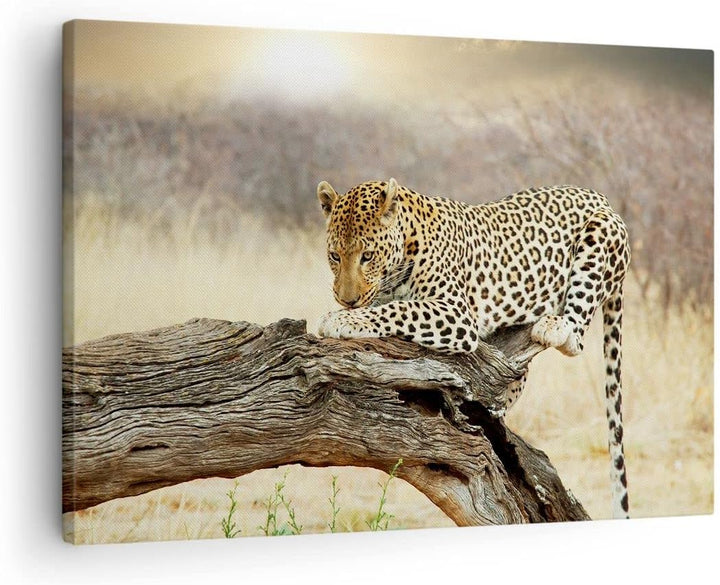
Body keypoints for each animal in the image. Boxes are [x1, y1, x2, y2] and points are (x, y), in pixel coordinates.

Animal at [316, 177, 631, 519]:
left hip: (601, 233)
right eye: (334, 256)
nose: (347, 300)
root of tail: (600, 197)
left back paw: (556, 326)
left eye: (368, 256)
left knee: (576, 337)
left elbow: (398, 310)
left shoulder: (455, 312)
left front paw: (341, 319)